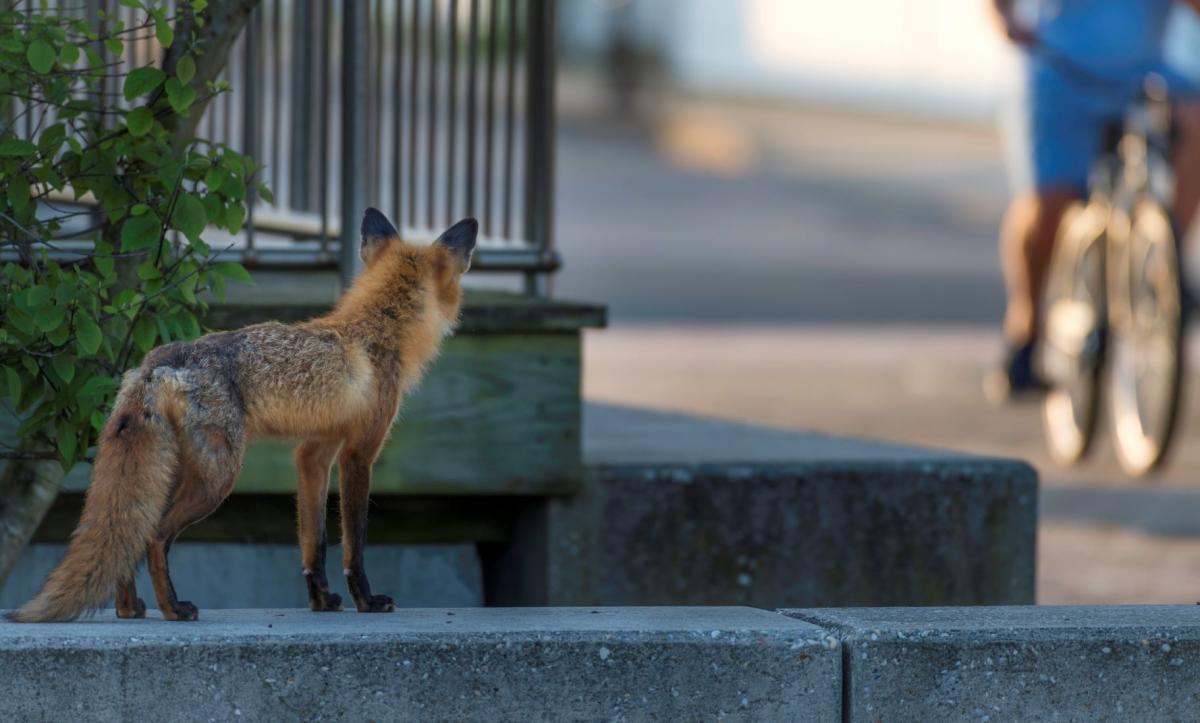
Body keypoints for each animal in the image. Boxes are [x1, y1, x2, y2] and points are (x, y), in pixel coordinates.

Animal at [10, 207, 477, 619]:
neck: (376, 332)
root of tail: (165, 355)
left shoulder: (314, 452)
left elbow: (313, 542)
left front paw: (321, 602)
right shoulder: (358, 453)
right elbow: (354, 543)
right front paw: (367, 601)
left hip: (175, 472)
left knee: (134, 533)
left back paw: (130, 609)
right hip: (219, 476)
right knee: (156, 537)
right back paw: (173, 609)